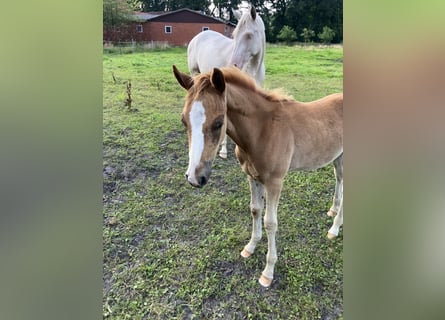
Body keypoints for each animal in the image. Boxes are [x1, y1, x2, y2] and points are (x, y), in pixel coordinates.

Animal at [172, 65, 342, 288]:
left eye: (218, 123)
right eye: (184, 120)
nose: (194, 177)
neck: (262, 130)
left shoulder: (275, 182)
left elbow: (270, 222)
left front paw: (268, 272)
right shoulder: (252, 176)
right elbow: (255, 210)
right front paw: (250, 247)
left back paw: (334, 229)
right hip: (338, 157)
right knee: (339, 180)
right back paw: (333, 211)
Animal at [186, 6, 266, 159]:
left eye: (249, 35)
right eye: (235, 35)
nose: (233, 65)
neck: (252, 68)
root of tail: (199, 36)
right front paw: (223, 150)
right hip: (194, 73)